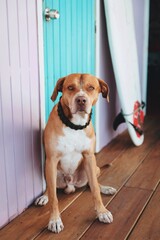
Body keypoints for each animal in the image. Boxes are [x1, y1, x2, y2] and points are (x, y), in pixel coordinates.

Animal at [35, 74, 116, 233]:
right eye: (70, 87)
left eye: (91, 87)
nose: (81, 100)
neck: (74, 125)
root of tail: (71, 184)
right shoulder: (51, 160)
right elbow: (54, 197)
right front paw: (54, 220)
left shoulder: (89, 157)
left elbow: (95, 189)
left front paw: (102, 212)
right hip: (49, 169)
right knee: (51, 188)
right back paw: (44, 196)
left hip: (93, 168)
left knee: (93, 183)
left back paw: (105, 188)